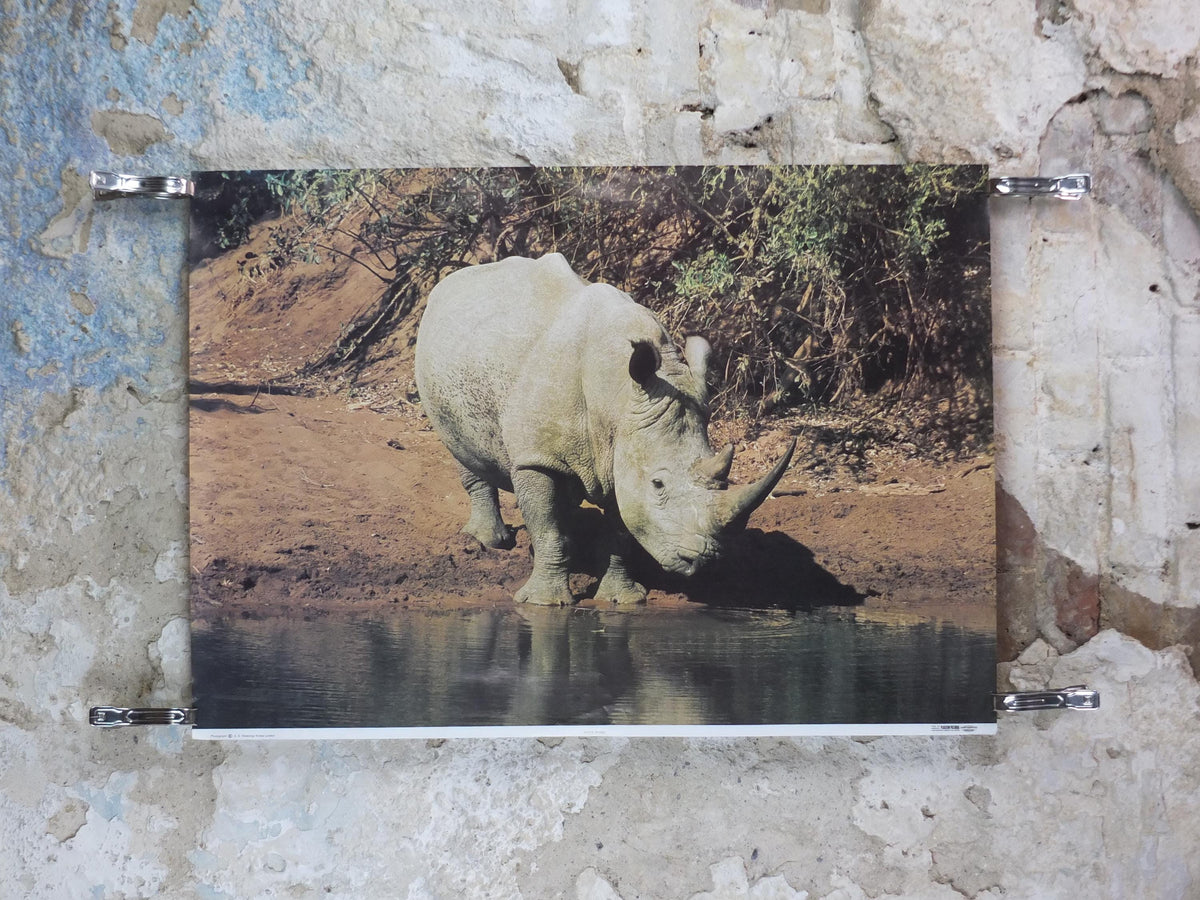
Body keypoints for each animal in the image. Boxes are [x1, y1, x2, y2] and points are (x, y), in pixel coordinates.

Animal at [414, 253, 795, 606]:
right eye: (658, 484)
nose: (703, 561)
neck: (619, 397)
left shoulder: (622, 449)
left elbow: (621, 531)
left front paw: (622, 599)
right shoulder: (536, 458)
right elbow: (546, 527)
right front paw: (544, 602)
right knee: (460, 446)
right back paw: (489, 541)